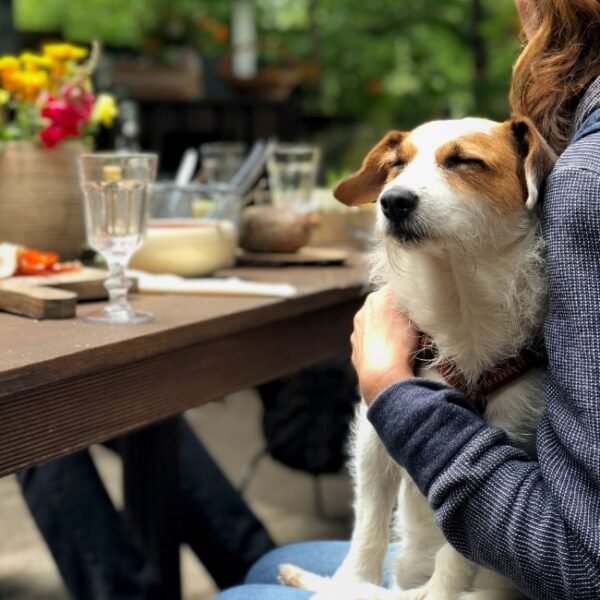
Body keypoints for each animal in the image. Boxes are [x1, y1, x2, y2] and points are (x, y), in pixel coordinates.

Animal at [278, 118, 556, 600]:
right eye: (396, 165)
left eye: (464, 161)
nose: (392, 201)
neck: (458, 297)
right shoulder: (375, 433)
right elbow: (368, 525)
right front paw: (351, 579)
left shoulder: (507, 436)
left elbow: (459, 554)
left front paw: (438, 589)